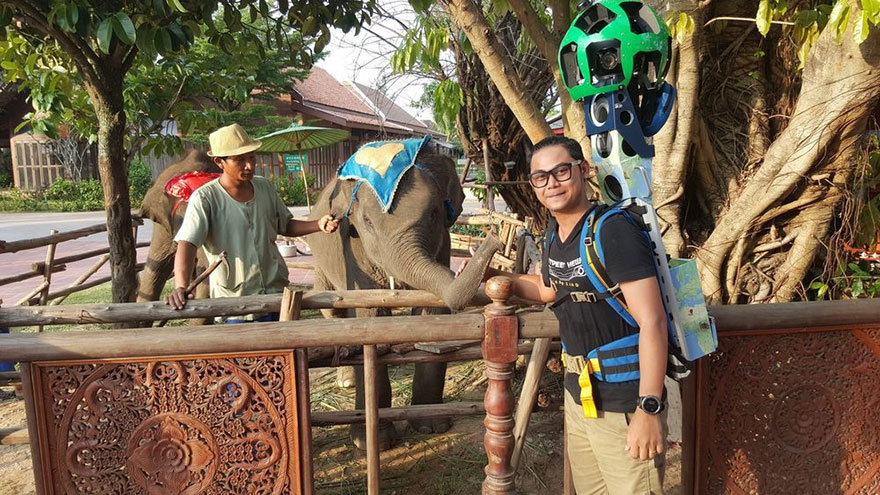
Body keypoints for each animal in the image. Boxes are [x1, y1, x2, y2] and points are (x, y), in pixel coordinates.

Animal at [304, 150, 502, 450]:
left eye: (434, 213)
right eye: (367, 222)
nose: (494, 235)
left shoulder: (442, 242)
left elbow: (432, 314)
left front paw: (432, 427)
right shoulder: (352, 247)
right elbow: (369, 315)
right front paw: (368, 444)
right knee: (333, 312)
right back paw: (347, 381)